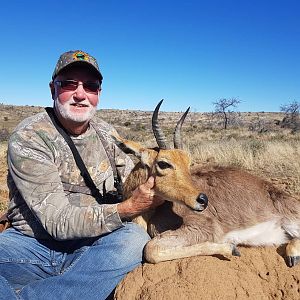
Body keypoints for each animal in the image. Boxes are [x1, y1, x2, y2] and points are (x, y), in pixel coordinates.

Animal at [111, 101, 300, 268]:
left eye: (188, 162)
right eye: (164, 163)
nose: (202, 200)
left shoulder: (204, 227)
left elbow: (150, 249)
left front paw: (230, 249)